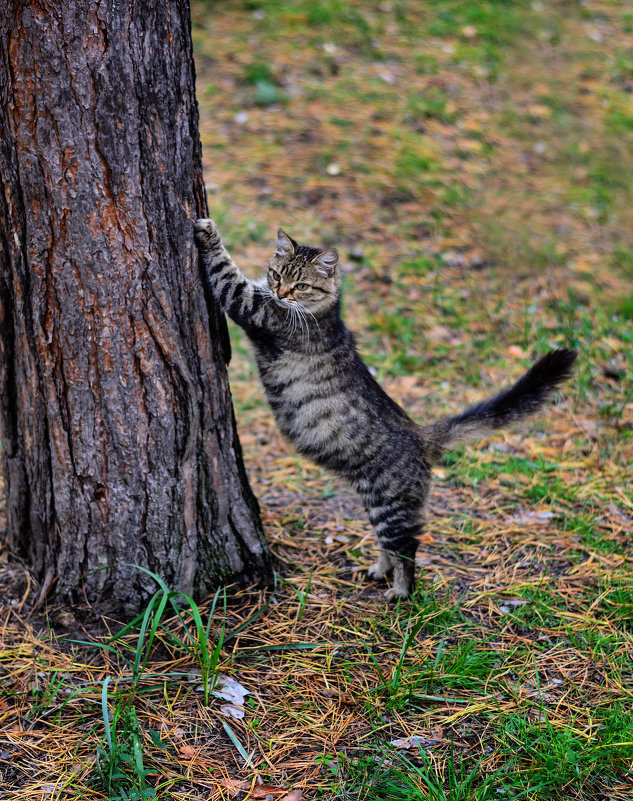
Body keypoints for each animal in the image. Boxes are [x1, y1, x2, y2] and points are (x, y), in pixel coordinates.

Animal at [195, 219, 576, 600]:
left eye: (301, 285)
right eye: (276, 274)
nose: (281, 293)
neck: (324, 312)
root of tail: (421, 436)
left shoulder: (250, 305)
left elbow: (226, 270)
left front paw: (208, 231)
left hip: (393, 509)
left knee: (407, 551)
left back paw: (400, 591)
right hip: (375, 503)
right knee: (387, 546)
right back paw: (380, 571)